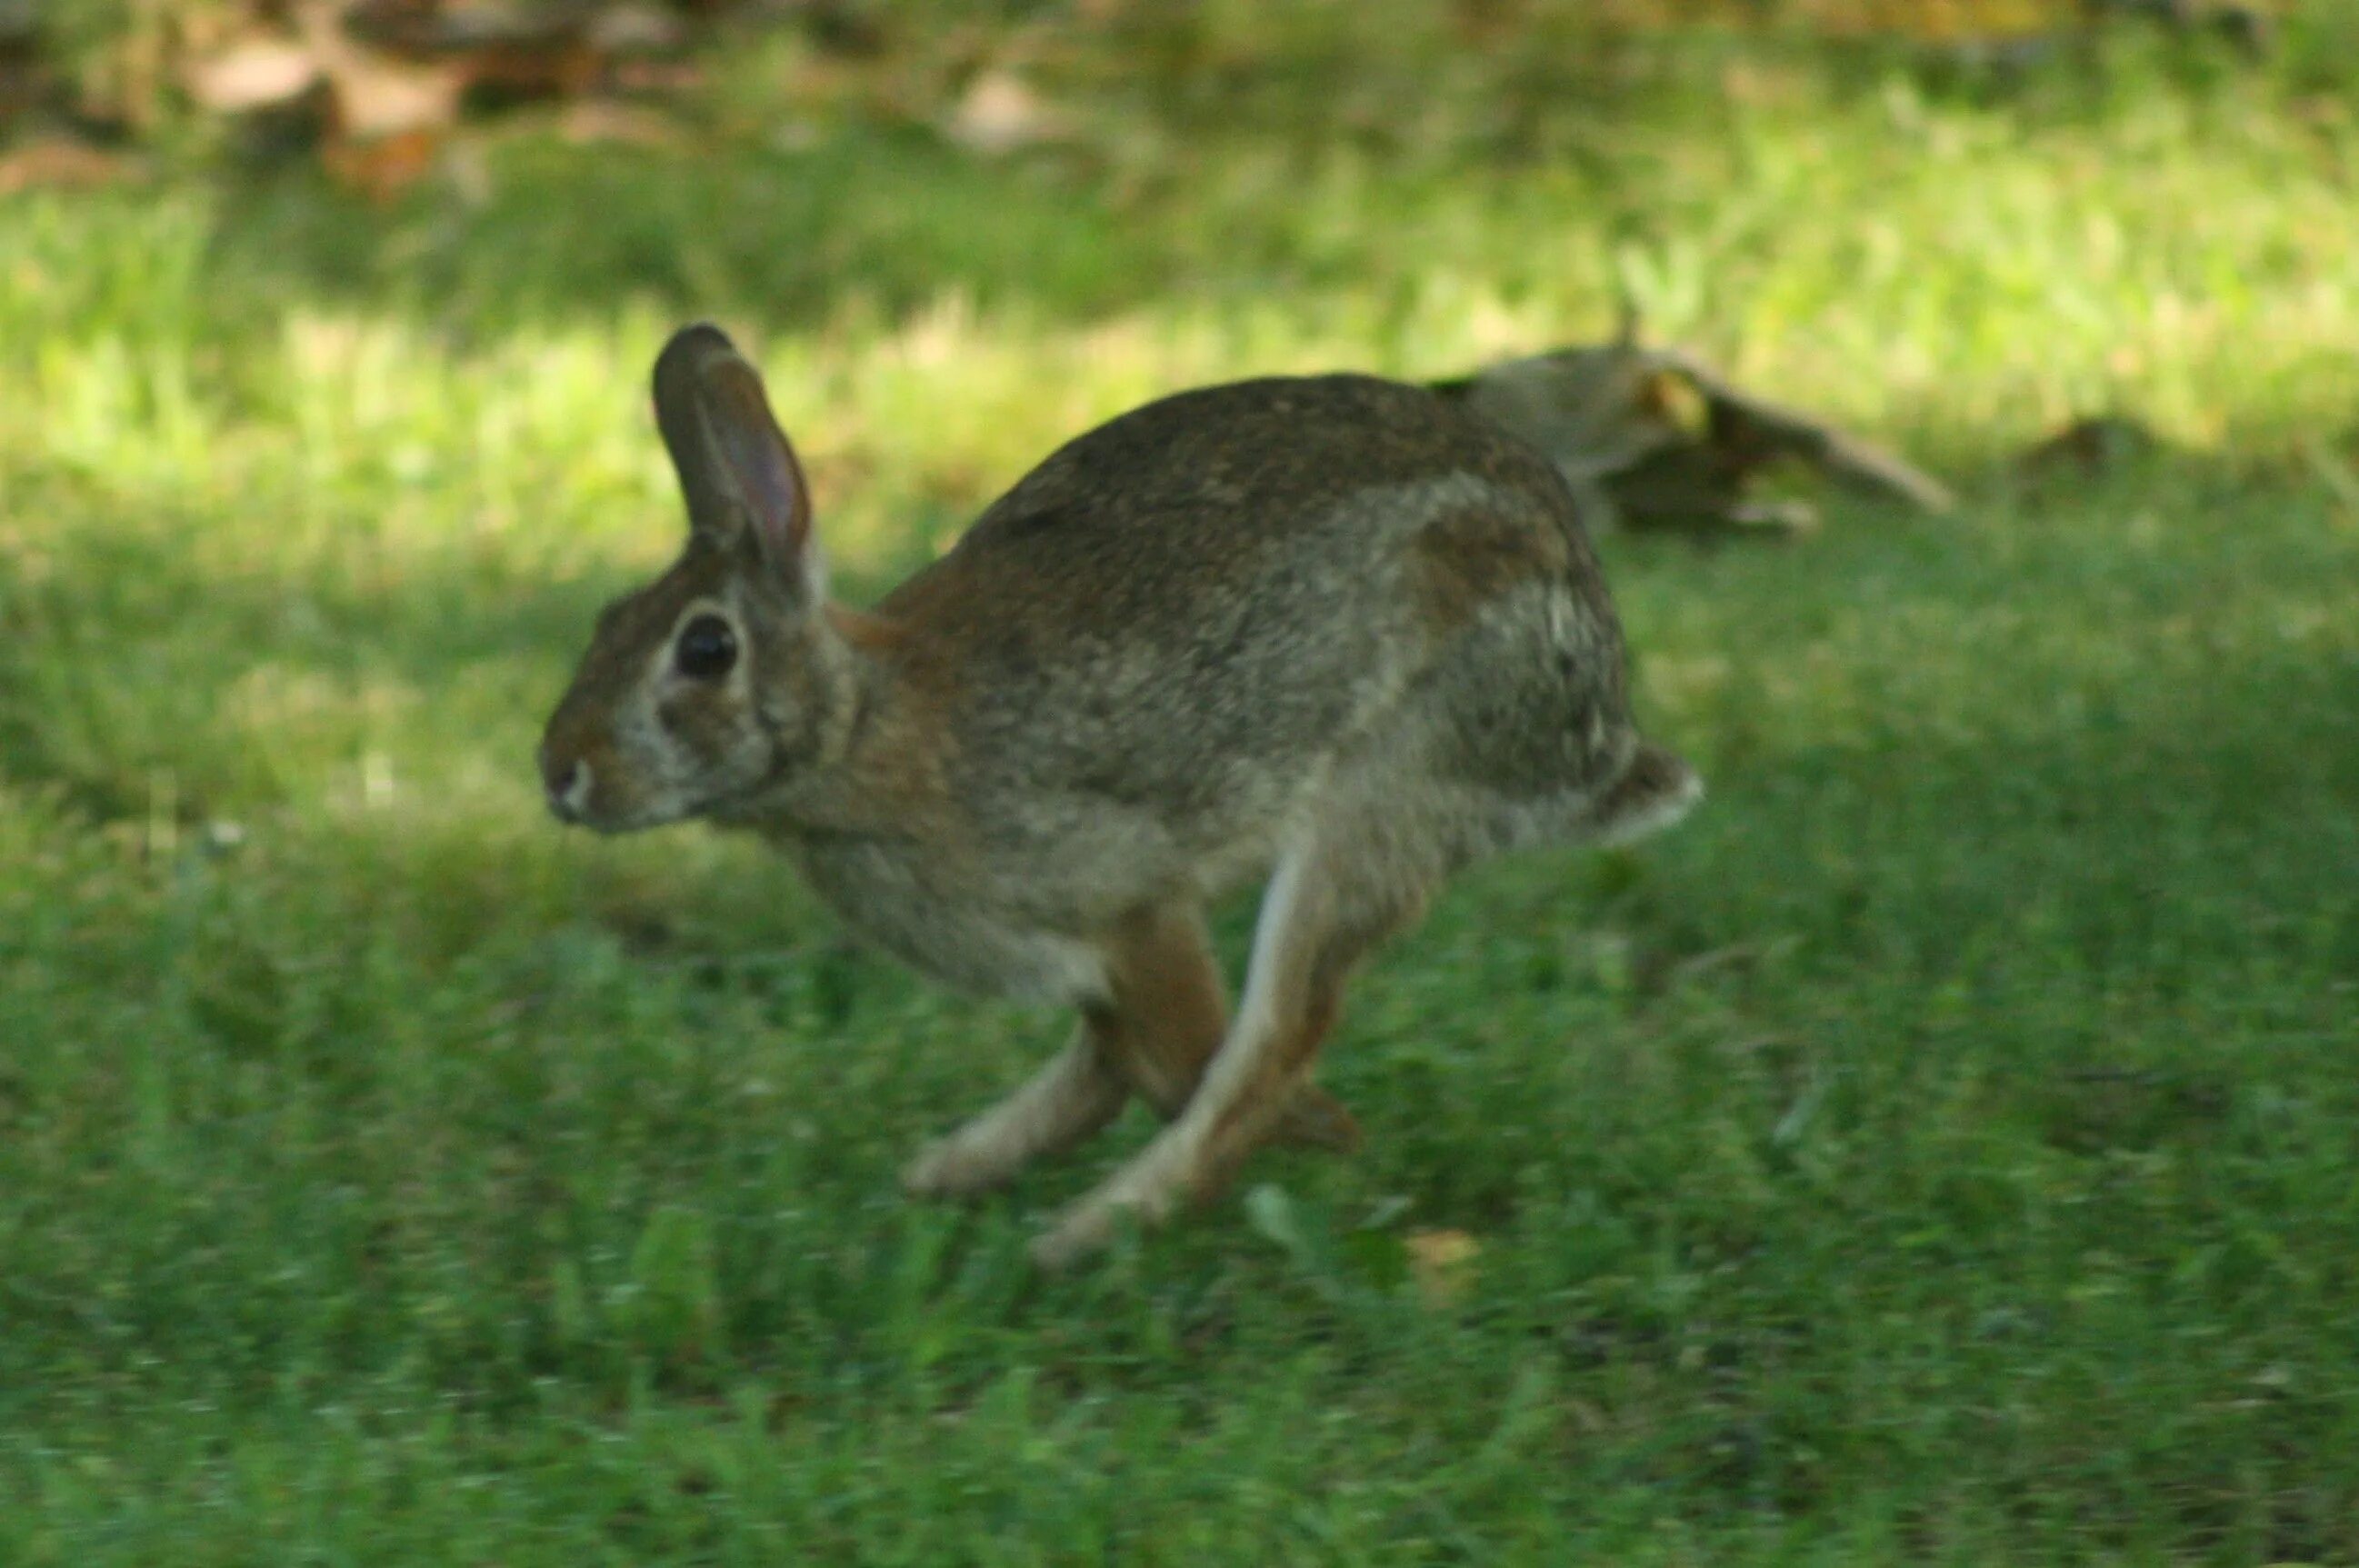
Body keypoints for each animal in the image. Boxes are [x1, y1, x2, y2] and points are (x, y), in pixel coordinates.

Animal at [542, 323, 1707, 1263]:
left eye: (705, 650)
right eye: (605, 623)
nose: (563, 775)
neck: (863, 723)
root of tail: (1600, 720)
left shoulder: (1133, 902)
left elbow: (1192, 1057)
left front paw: (1317, 1133)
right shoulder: (1091, 964)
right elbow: (1126, 1061)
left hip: (1389, 786)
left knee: (1266, 1043)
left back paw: (1086, 1232)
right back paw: (966, 1174)